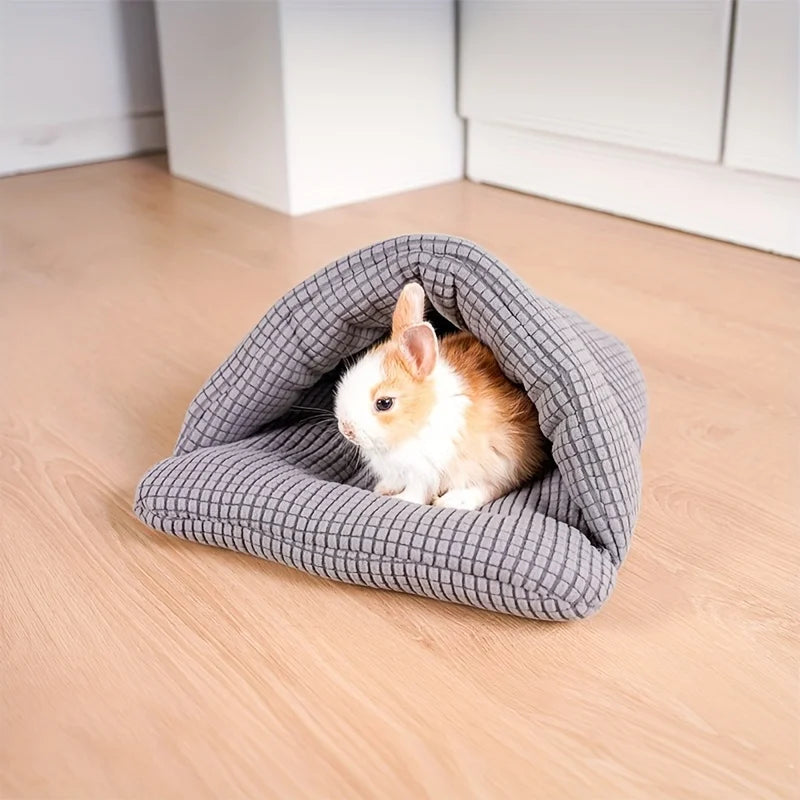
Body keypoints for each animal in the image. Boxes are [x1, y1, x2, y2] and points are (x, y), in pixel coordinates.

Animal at [333, 283, 549, 510]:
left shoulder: (425, 471)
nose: (346, 429)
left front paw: (401, 498)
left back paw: (453, 500)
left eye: (384, 403)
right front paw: (384, 488)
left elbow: (418, 492)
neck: (422, 417)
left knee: (494, 486)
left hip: (502, 460)